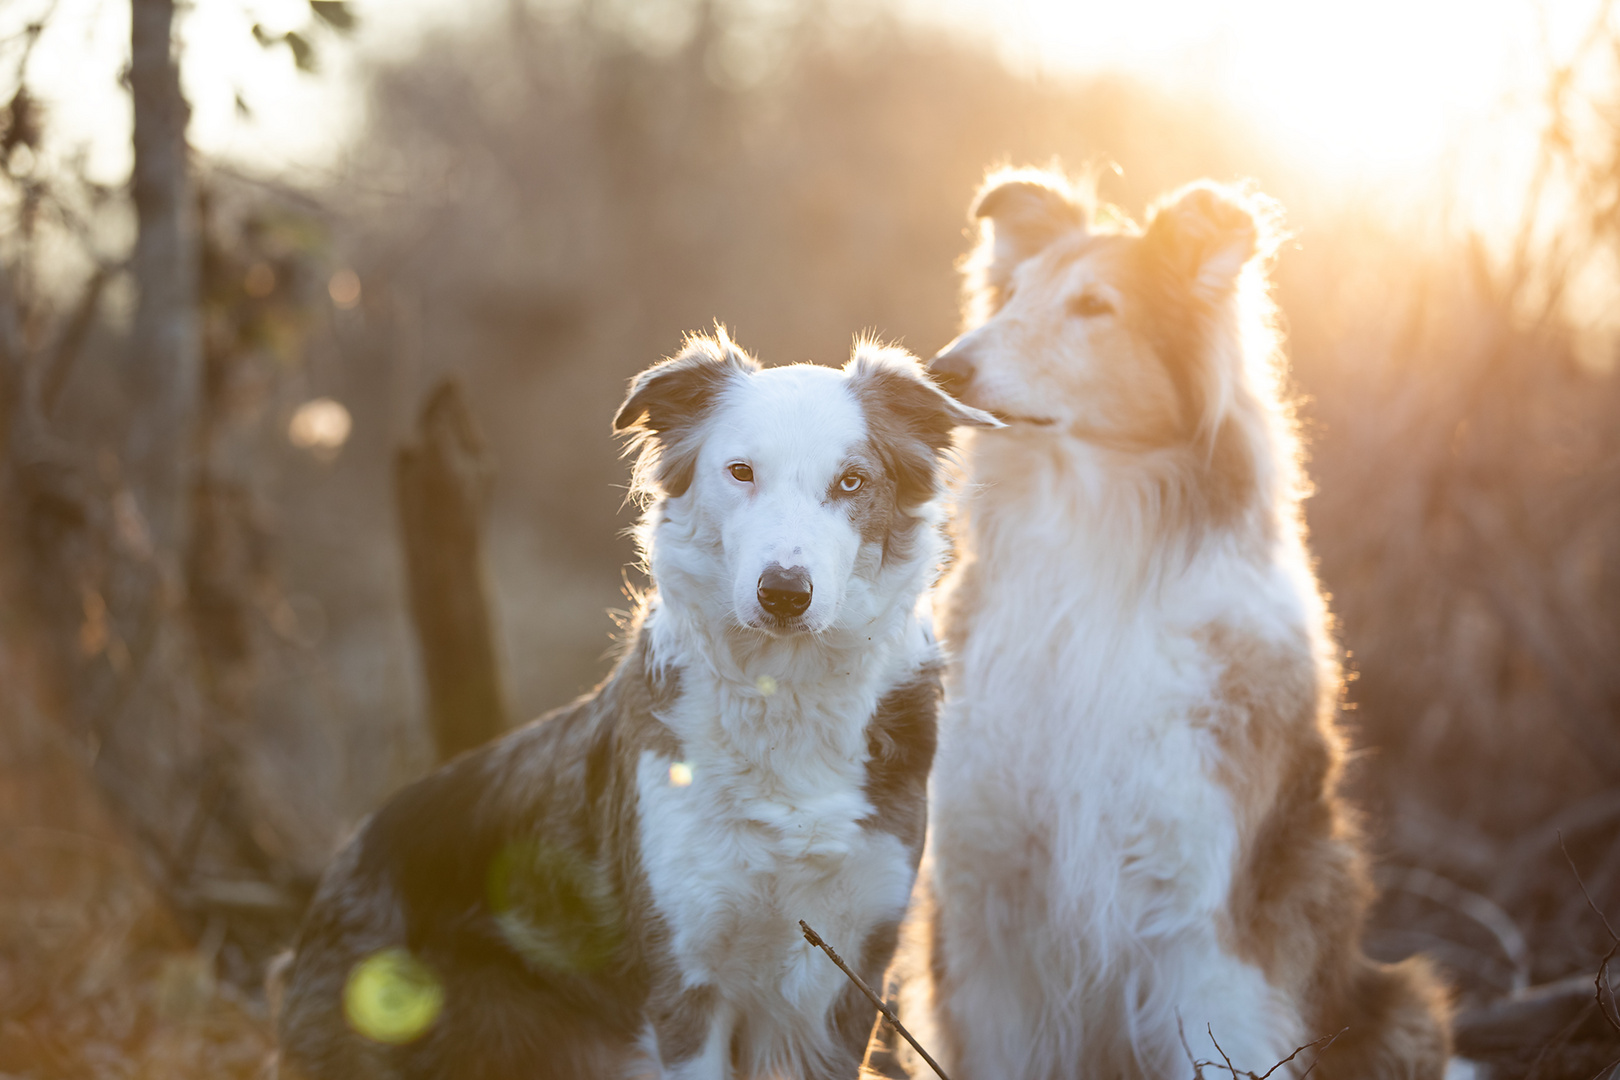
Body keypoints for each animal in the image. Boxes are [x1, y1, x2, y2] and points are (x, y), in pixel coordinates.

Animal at [278, 331, 997, 1080]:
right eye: (740, 472)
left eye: (851, 483)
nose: (784, 593)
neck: (785, 692)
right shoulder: (685, 983)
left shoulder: (836, 984)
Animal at [894, 175, 1451, 1080]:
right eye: (1011, 295)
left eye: (1094, 305)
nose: (944, 368)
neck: (1090, 549)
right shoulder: (990, 911)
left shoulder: (1201, 925)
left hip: (1405, 1007)